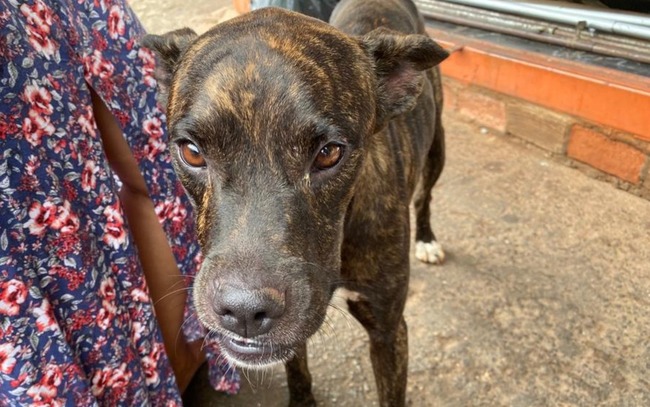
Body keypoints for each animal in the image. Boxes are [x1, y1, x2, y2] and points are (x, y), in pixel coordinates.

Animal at [142, 1, 446, 406]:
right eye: (191, 152)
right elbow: (297, 370)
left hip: (437, 150)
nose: (243, 310)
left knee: (425, 196)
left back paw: (427, 238)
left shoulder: (389, 331)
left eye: (329, 153)